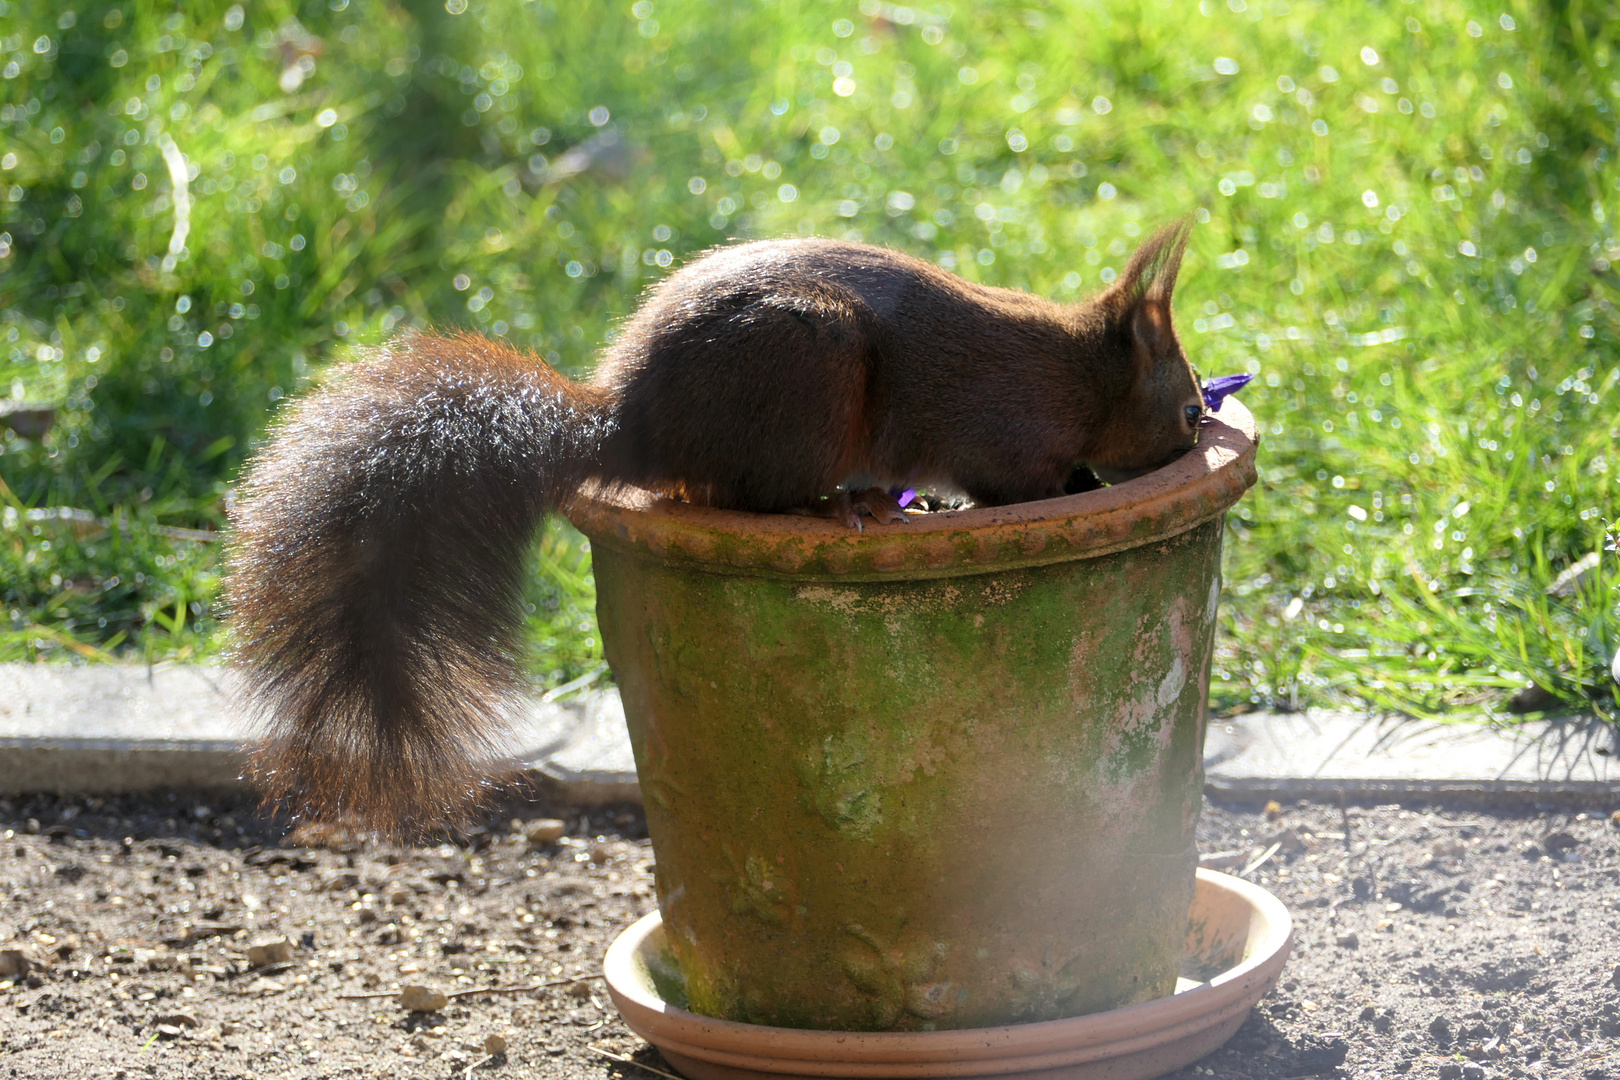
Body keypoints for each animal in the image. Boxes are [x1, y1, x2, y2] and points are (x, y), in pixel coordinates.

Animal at [231, 216, 1218, 829]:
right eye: (1184, 408)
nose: (1204, 429)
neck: (1074, 373)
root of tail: (633, 426)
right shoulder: (1003, 436)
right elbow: (1011, 486)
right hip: (810, 371)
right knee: (751, 495)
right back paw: (844, 503)